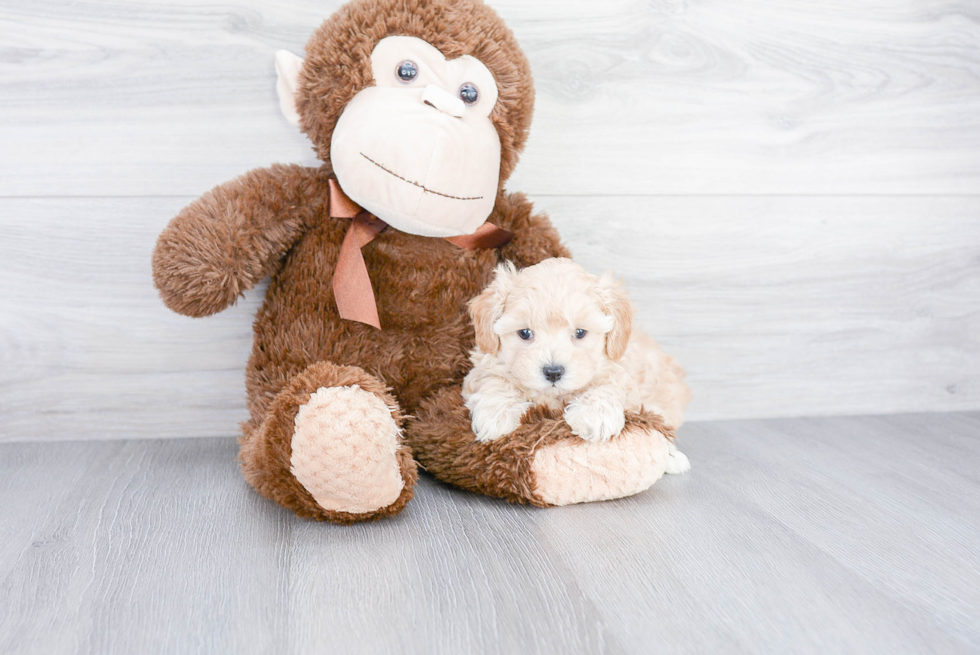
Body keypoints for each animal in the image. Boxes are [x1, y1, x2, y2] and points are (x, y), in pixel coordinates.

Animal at [464, 258, 692, 474]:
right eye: (525, 333)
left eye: (580, 333)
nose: (553, 372)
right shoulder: (483, 365)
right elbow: (495, 380)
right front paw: (497, 414)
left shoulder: (619, 368)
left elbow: (608, 384)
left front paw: (595, 416)